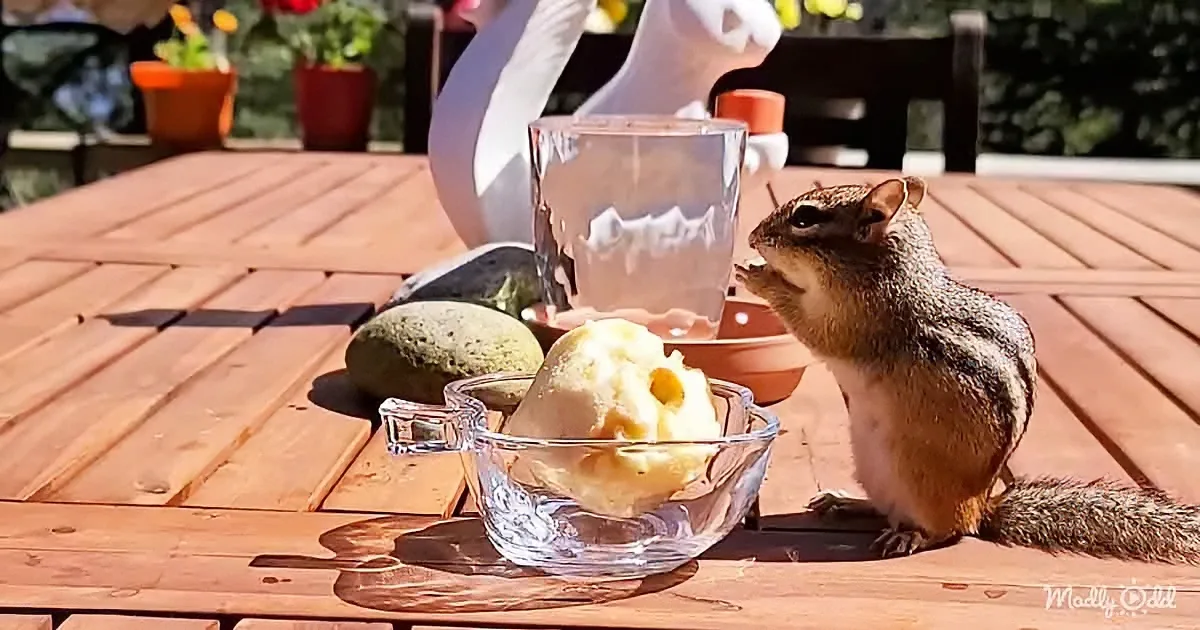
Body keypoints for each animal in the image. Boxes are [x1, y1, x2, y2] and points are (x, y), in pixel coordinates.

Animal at [734, 176, 1200, 563]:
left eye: (804, 218)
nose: (753, 236)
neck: (889, 272)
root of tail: (984, 507)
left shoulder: (857, 318)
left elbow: (814, 328)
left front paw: (760, 277)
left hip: (921, 482)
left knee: (949, 531)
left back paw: (911, 535)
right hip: (874, 469)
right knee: (888, 509)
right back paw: (847, 502)